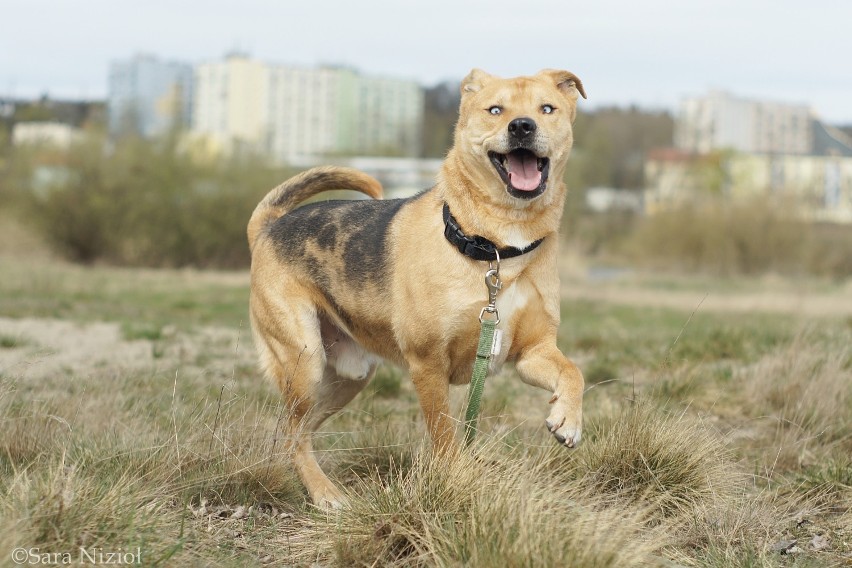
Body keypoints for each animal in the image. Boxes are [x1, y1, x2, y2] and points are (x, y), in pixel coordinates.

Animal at [248, 67, 584, 506]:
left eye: (547, 109)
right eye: (495, 110)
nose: (523, 127)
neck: (498, 248)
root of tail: (267, 227)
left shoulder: (533, 353)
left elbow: (573, 372)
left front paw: (568, 419)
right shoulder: (428, 363)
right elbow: (444, 436)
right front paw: (457, 481)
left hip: (349, 376)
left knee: (294, 430)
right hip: (305, 361)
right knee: (293, 432)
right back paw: (325, 494)